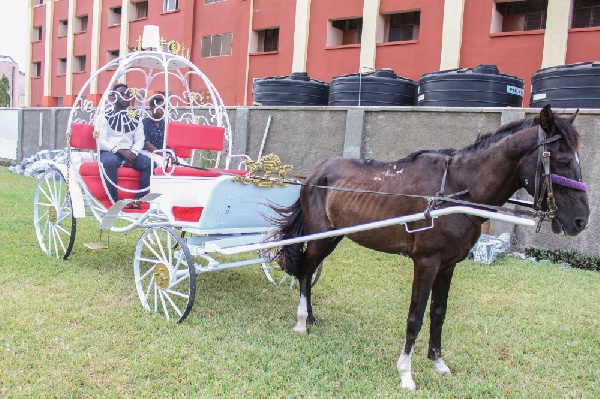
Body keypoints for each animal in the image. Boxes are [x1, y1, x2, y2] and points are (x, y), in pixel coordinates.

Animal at [274, 106, 592, 390]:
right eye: (563, 160)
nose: (581, 220)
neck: (455, 190)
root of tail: (314, 174)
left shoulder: (448, 265)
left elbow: (439, 312)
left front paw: (438, 362)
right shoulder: (426, 262)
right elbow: (415, 316)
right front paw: (405, 374)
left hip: (335, 237)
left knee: (309, 271)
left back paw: (310, 317)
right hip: (320, 236)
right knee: (306, 270)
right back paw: (301, 322)